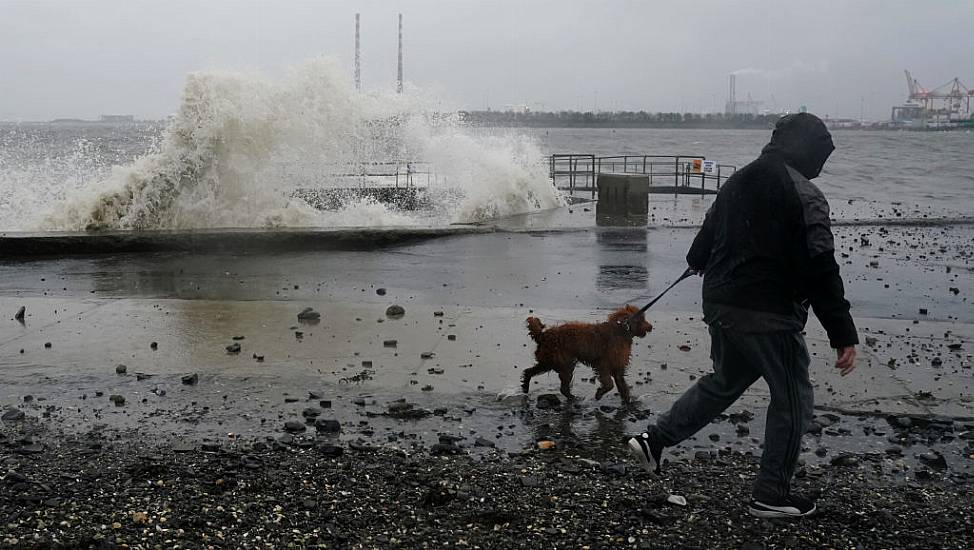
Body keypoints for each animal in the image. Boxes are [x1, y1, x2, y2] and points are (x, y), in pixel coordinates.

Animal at [524, 304, 652, 404]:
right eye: (642, 319)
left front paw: (627, 400)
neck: (622, 329)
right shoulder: (602, 364)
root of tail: (542, 335)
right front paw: (599, 394)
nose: (651, 327)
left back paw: (525, 386)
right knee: (563, 387)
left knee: (529, 371)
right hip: (562, 362)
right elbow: (609, 384)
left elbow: (622, 385)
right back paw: (573, 398)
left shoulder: (618, 367)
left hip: (550, 361)